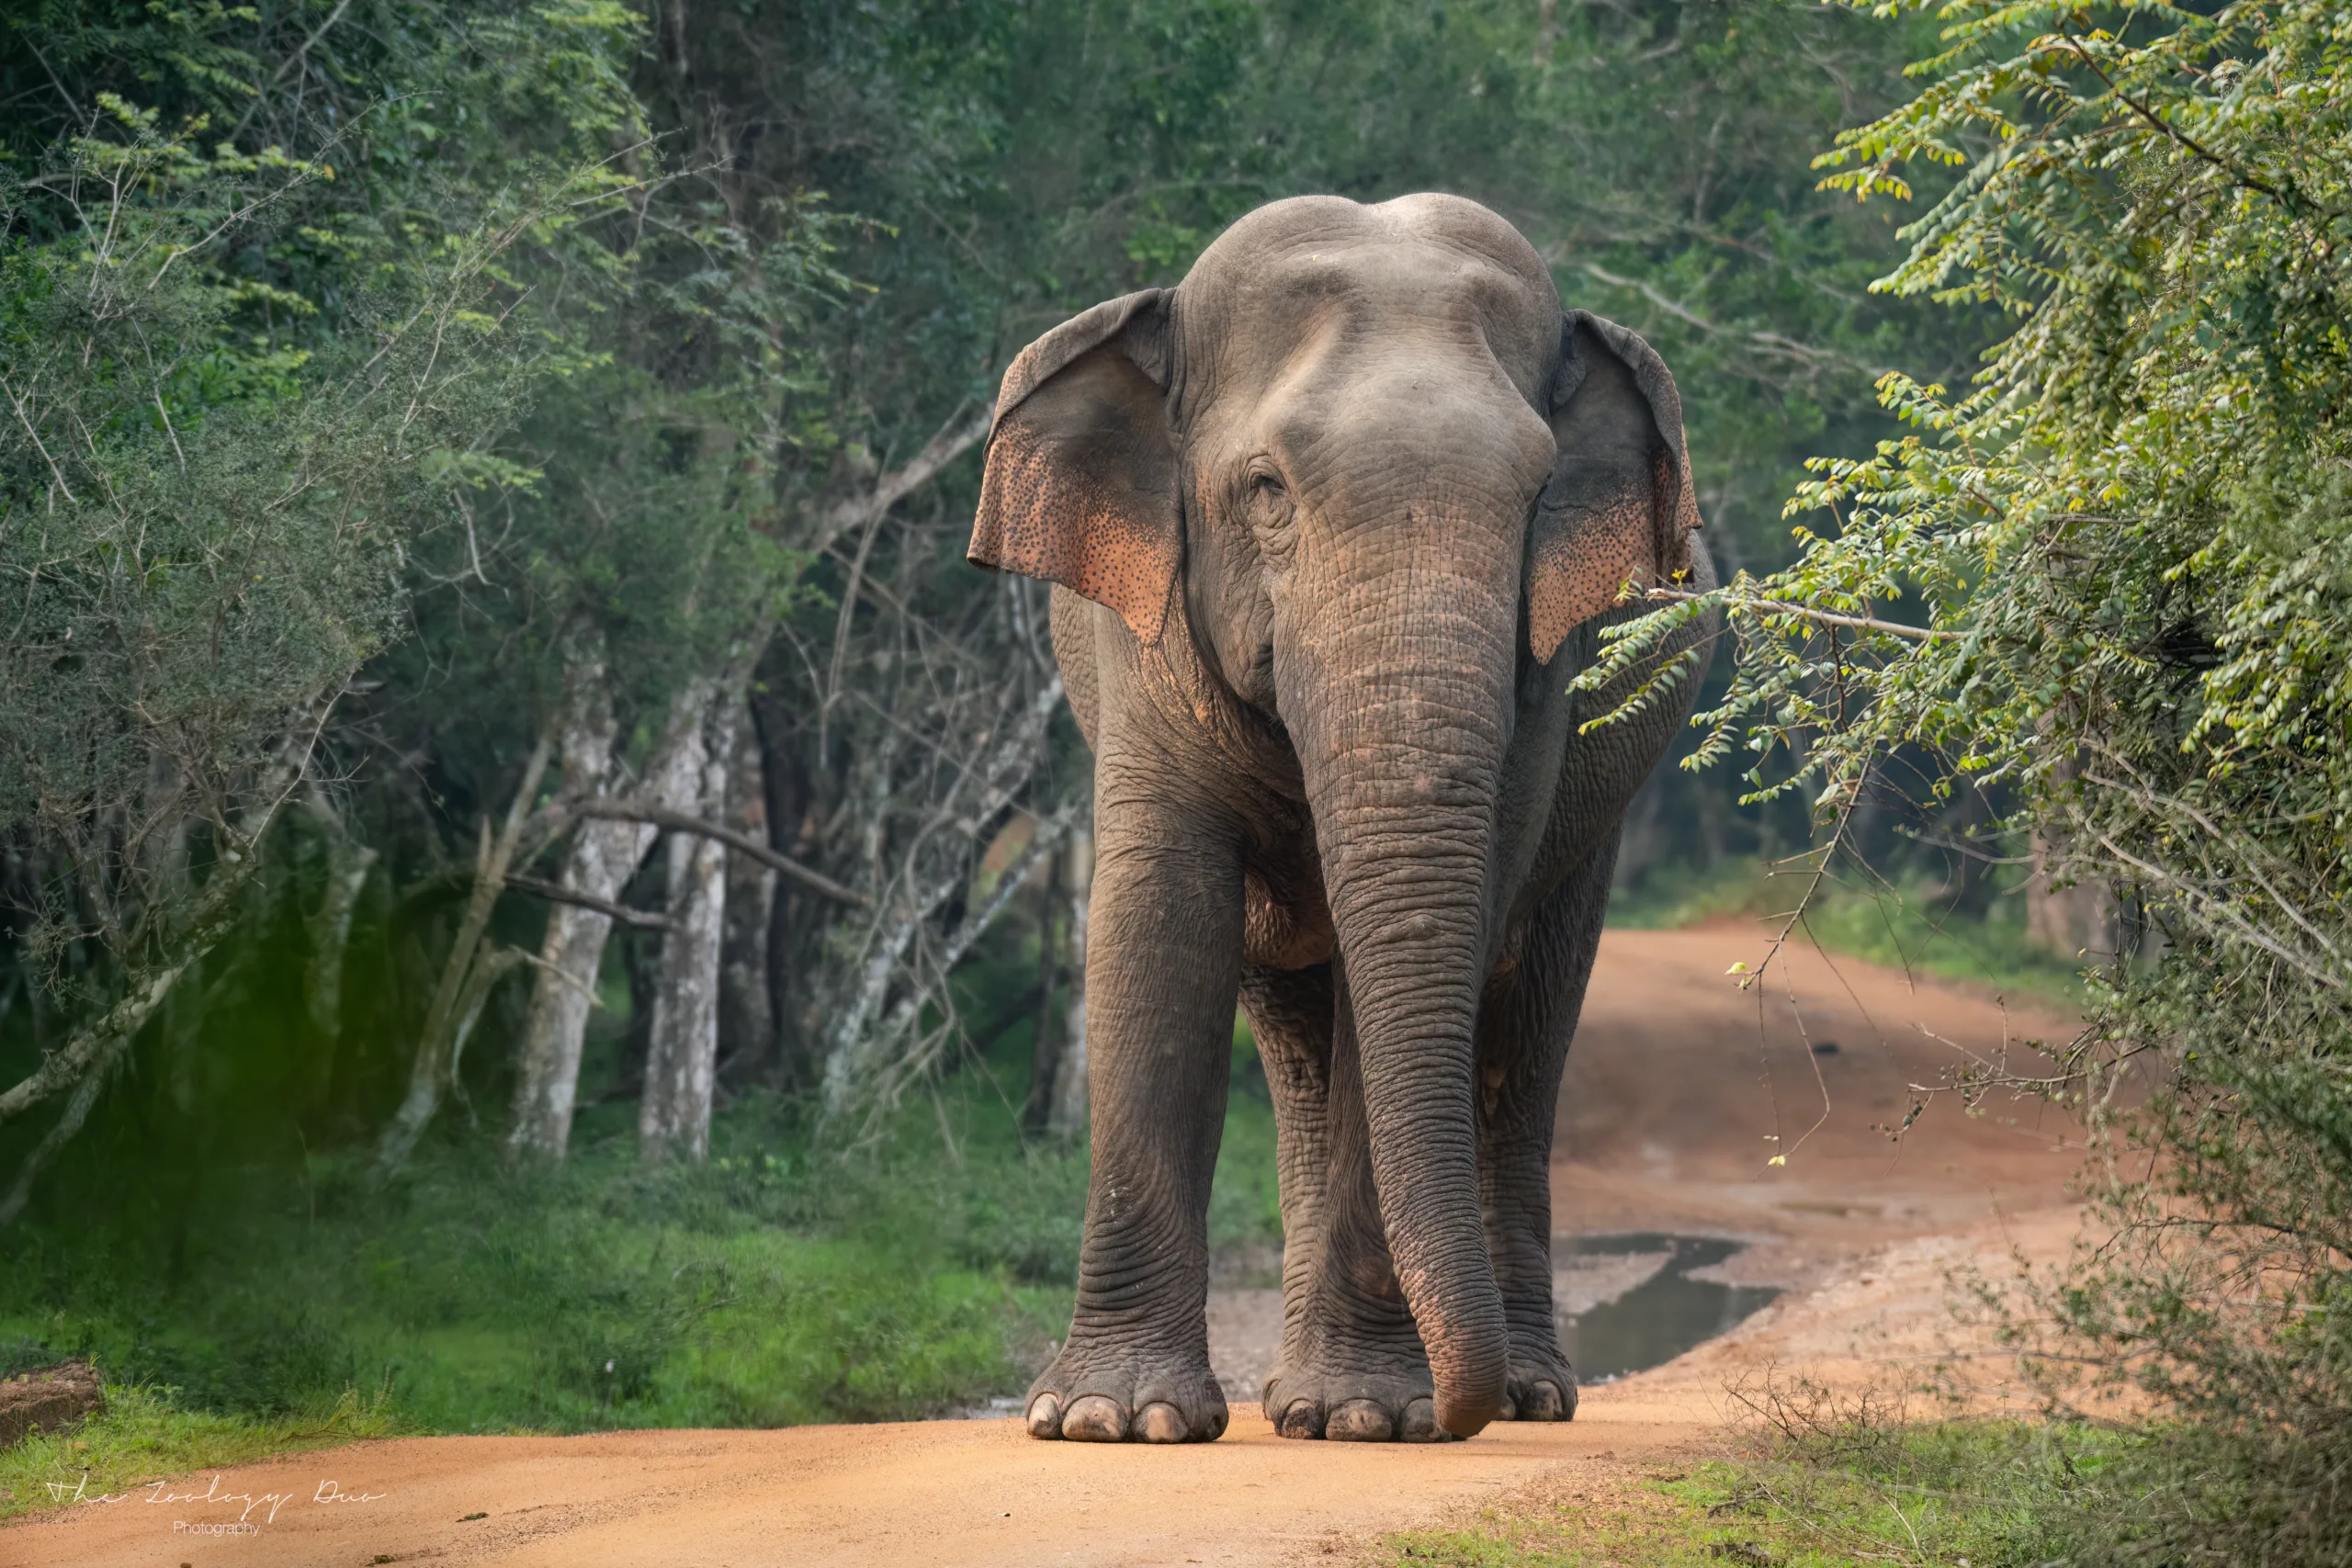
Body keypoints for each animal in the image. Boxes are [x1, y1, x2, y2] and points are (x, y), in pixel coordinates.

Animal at [965, 192, 1716, 1445]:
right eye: (1266, 488)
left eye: (1536, 498)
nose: (1458, 1413)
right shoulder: (1144, 638)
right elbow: (1158, 925)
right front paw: (1110, 1421)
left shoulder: (1548, 682)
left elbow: (1446, 940)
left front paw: (1372, 1415)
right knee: (1295, 1033)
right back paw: (1299, 1396)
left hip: (1602, 822)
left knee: (1528, 1026)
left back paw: (1506, 1395)